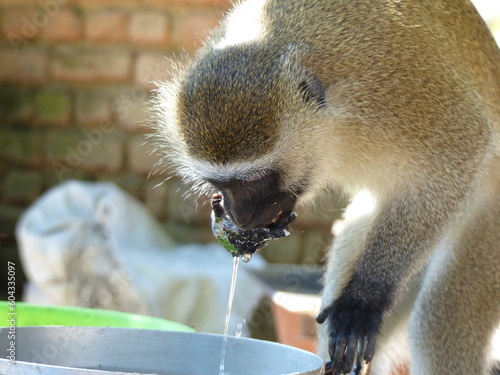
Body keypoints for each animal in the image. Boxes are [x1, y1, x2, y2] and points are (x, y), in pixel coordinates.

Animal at [152, 0, 500, 375]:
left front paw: (365, 298)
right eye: (220, 184)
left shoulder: (395, 86)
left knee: (438, 321)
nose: (239, 215)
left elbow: (462, 147)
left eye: (255, 181)